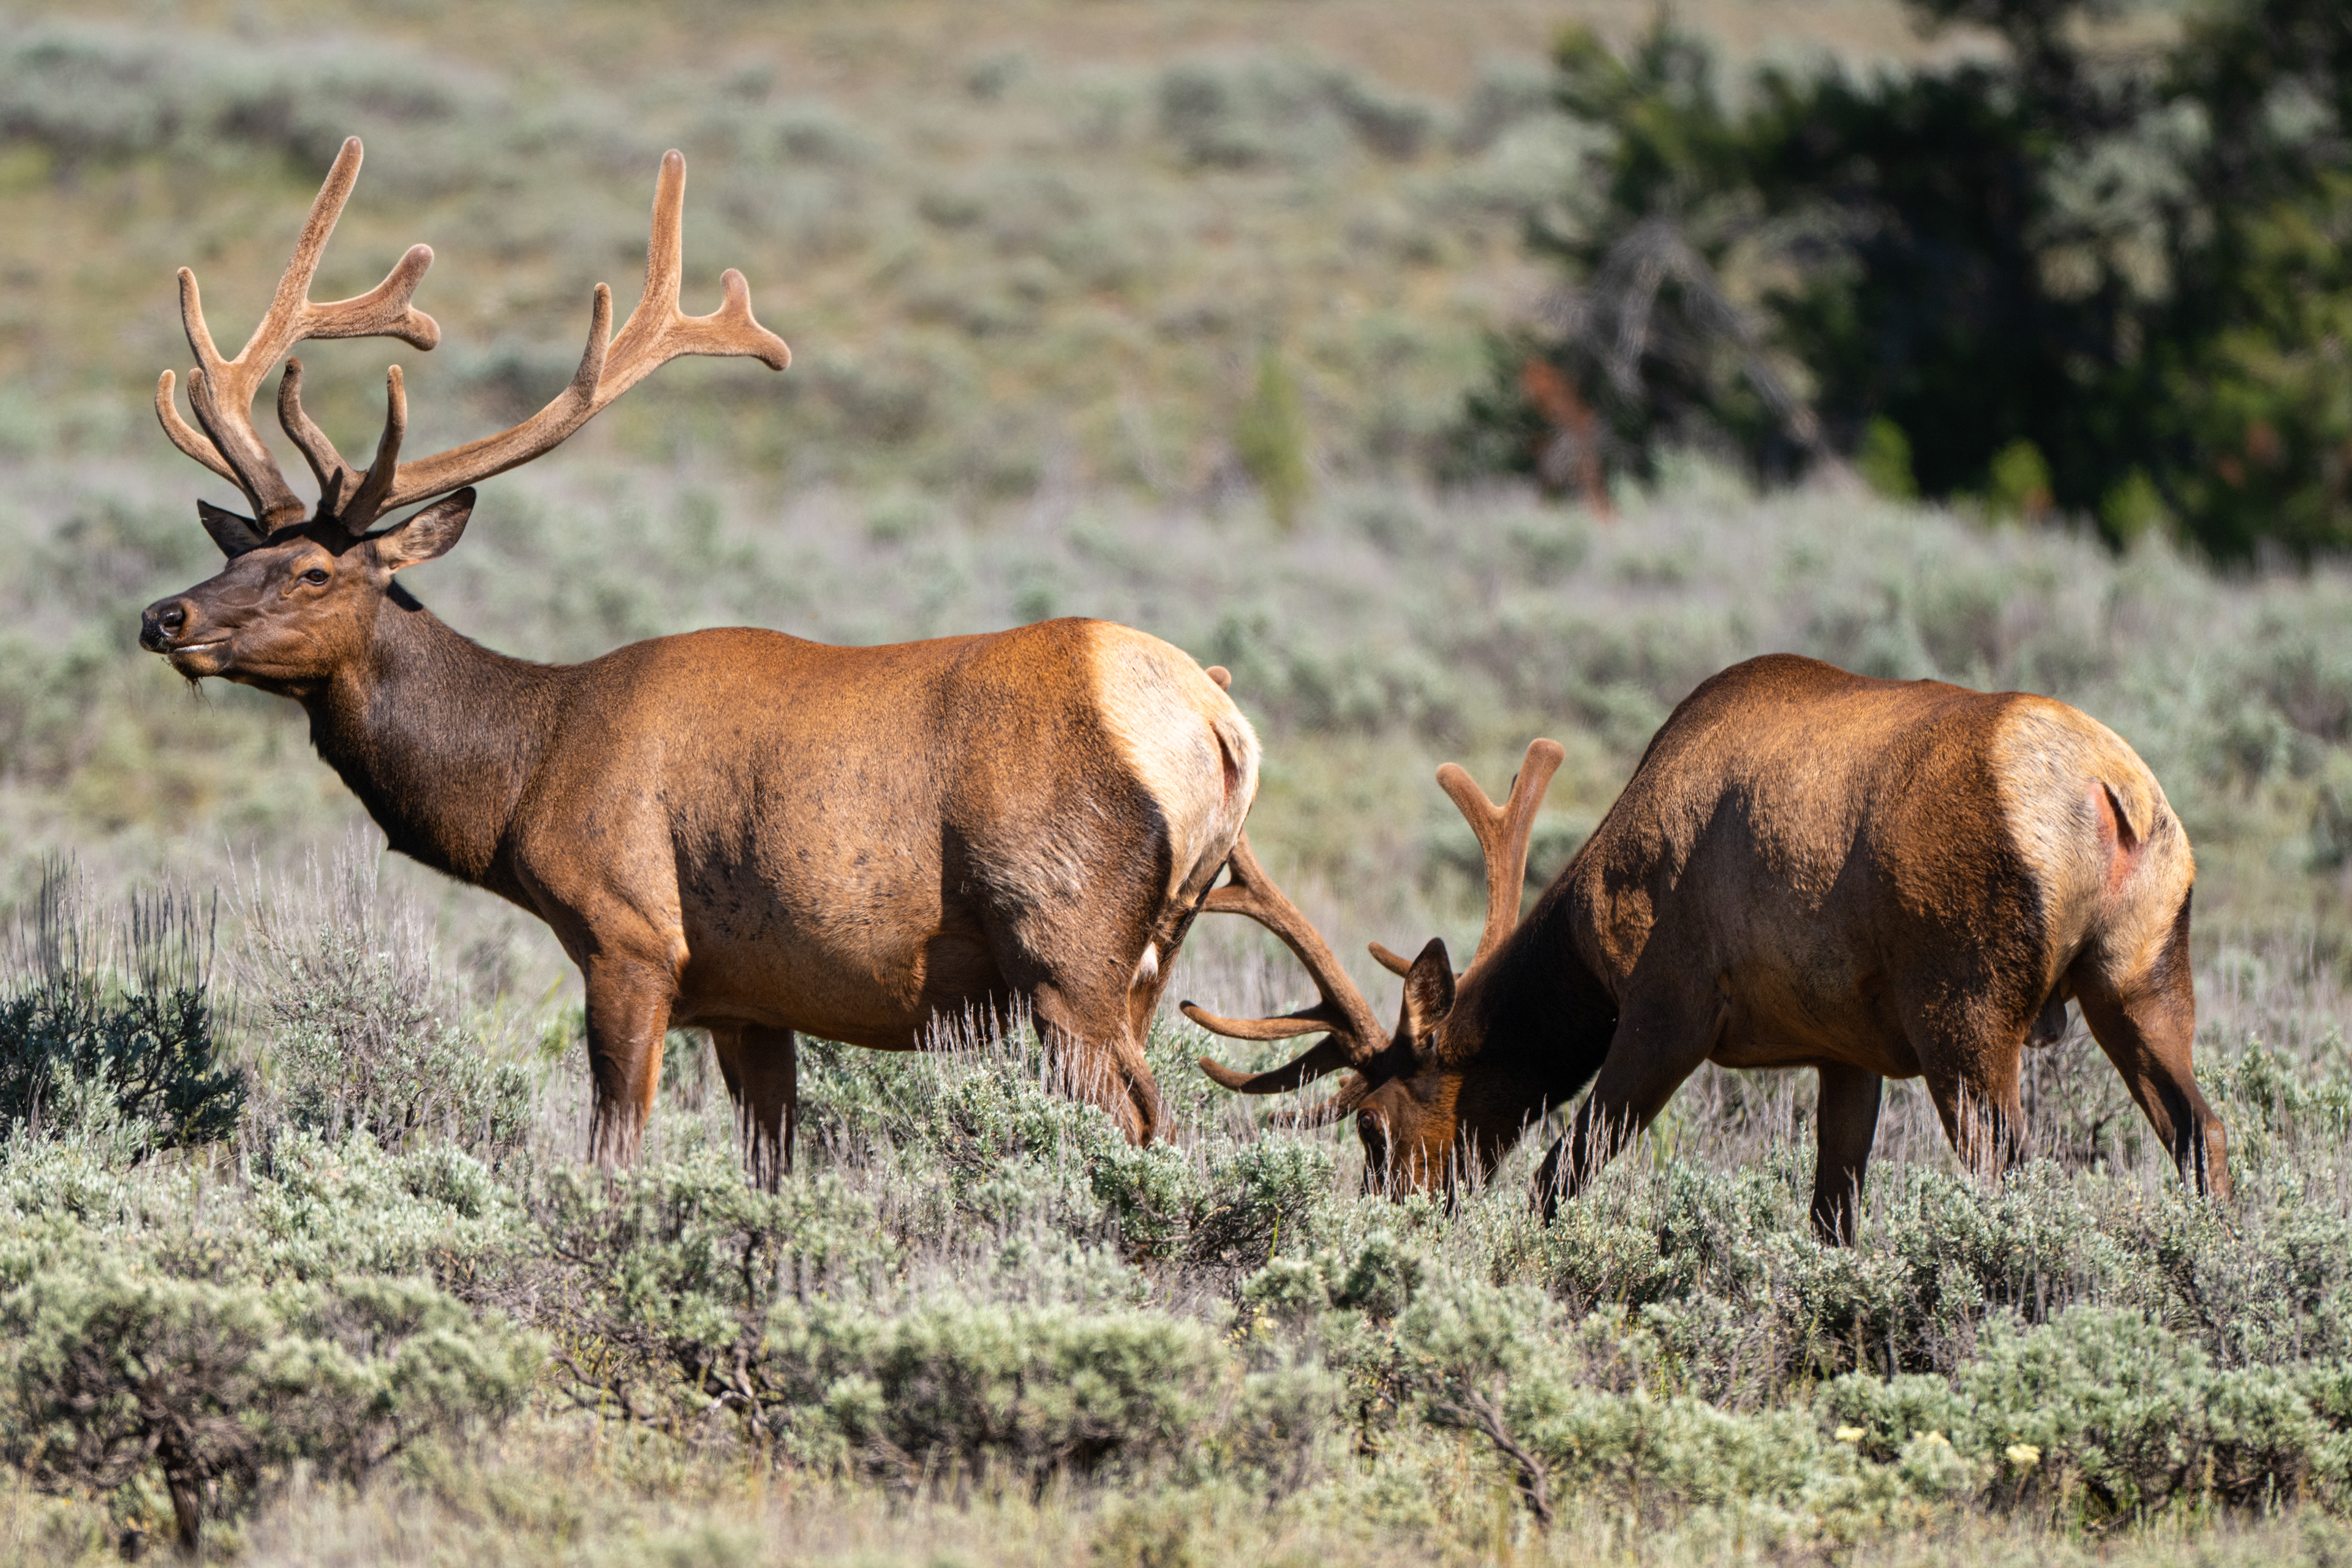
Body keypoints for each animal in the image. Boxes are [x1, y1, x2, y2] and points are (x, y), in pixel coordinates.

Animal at [136, 138, 1260, 1185]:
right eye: (237, 549)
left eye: (315, 570)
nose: (163, 616)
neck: (522, 776)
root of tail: (1221, 726)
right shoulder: (750, 998)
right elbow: (770, 1165)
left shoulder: (631, 936)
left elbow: (614, 1150)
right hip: (1152, 956)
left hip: (1065, 946)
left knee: (1145, 1125)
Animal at [1182, 654, 2226, 1244]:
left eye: (1373, 1125)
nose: (1383, 1225)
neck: (1583, 946)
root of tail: (2111, 795)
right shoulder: (1848, 1047)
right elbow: (1832, 1213)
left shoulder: (1670, 1004)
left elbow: (1560, 1173)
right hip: (2144, 973)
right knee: (2199, 1132)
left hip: (1964, 1003)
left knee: (2007, 1163)